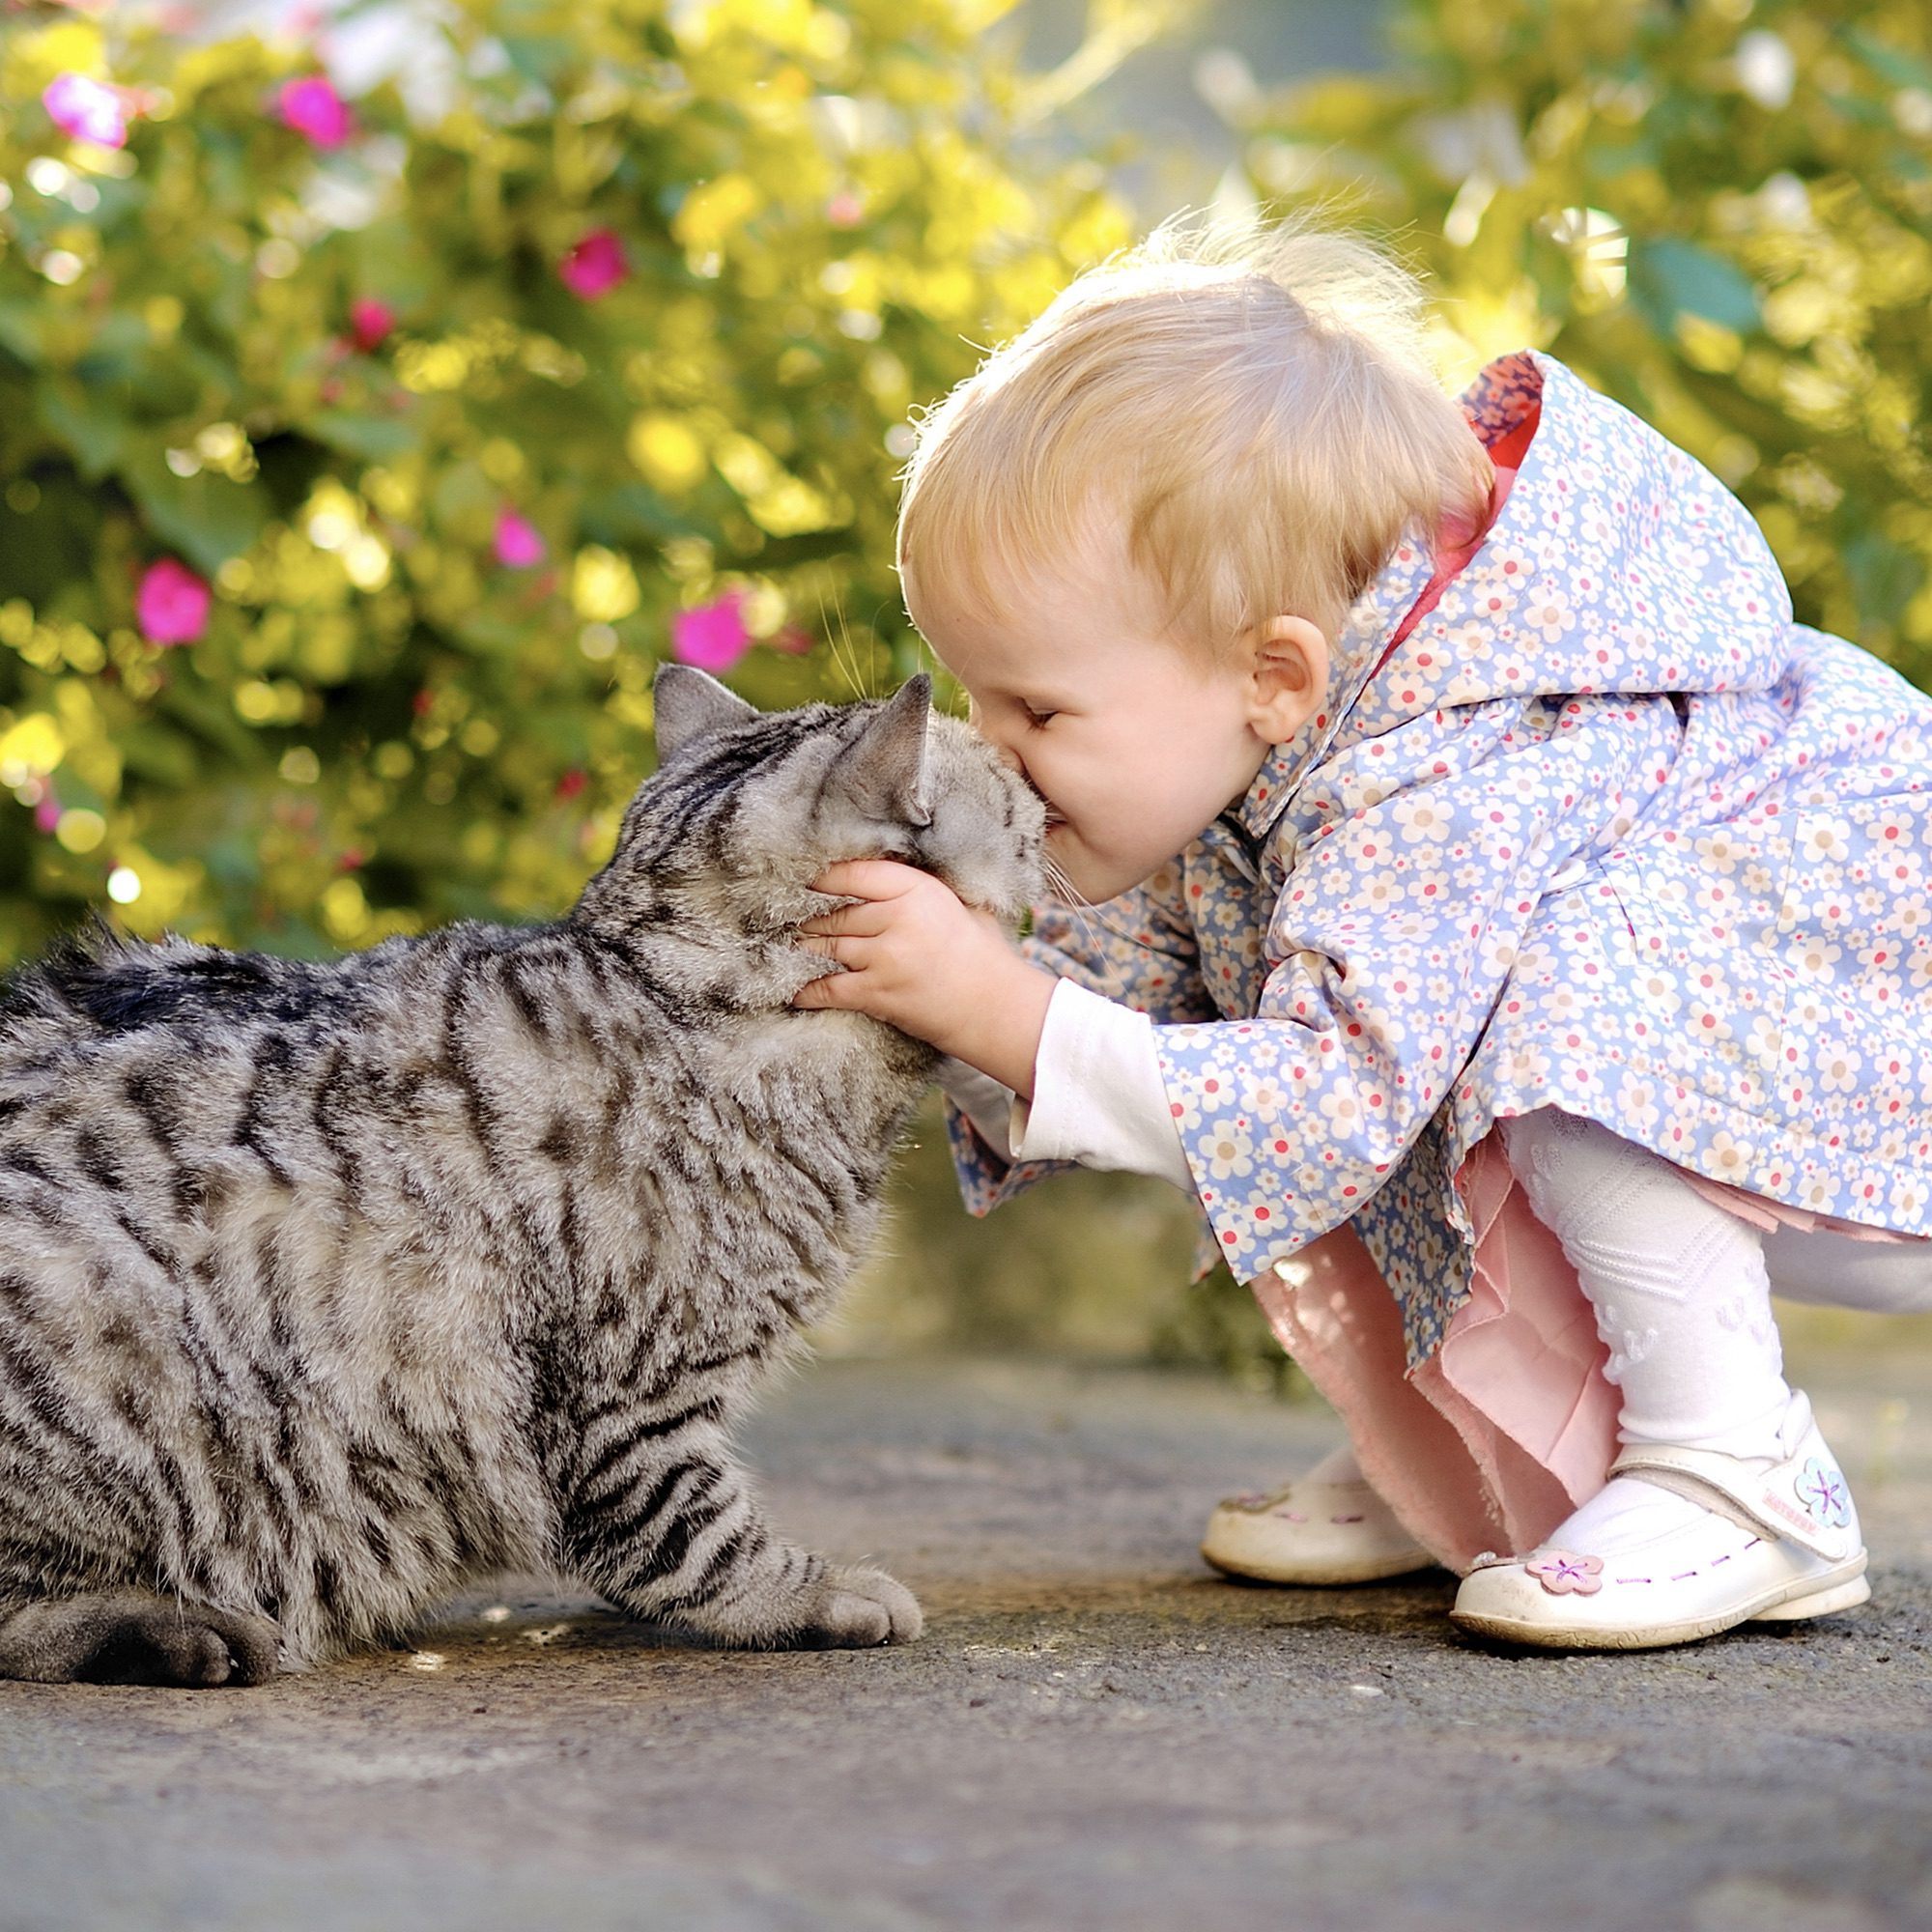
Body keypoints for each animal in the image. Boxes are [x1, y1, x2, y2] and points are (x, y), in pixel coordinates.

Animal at [0, 672, 1043, 1685]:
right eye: (1012, 801)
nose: (1040, 795)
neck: (669, 988)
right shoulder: (621, 1402)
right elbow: (691, 1540)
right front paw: (816, 1595)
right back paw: (175, 1633)